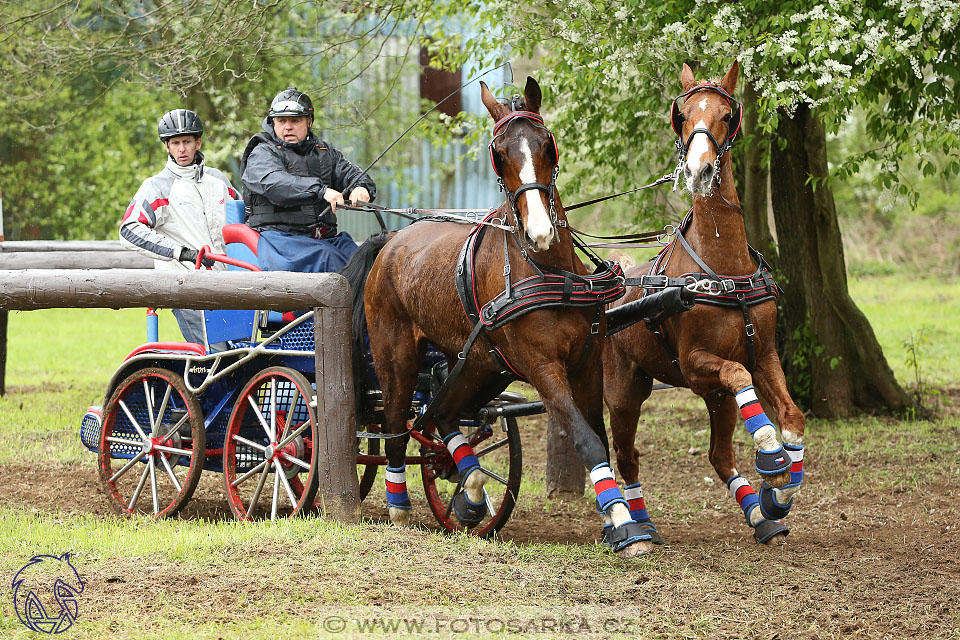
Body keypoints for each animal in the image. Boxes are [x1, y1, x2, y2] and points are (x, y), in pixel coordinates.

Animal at [344, 75, 660, 556]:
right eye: (499, 152)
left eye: (547, 144)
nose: (540, 230)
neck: (549, 270)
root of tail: (391, 238)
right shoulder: (543, 366)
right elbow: (585, 438)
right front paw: (625, 524)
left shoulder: (587, 363)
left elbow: (600, 438)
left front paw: (615, 520)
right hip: (396, 355)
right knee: (398, 423)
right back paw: (399, 506)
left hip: (481, 364)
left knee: (442, 414)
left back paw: (470, 490)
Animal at [604, 62, 808, 544]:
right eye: (683, 114)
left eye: (726, 114)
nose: (699, 168)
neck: (723, 268)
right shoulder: (697, 366)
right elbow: (736, 373)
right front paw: (771, 455)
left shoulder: (764, 355)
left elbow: (792, 416)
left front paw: (781, 489)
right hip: (624, 393)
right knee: (627, 455)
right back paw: (639, 525)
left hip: (713, 399)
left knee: (719, 455)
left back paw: (759, 515)